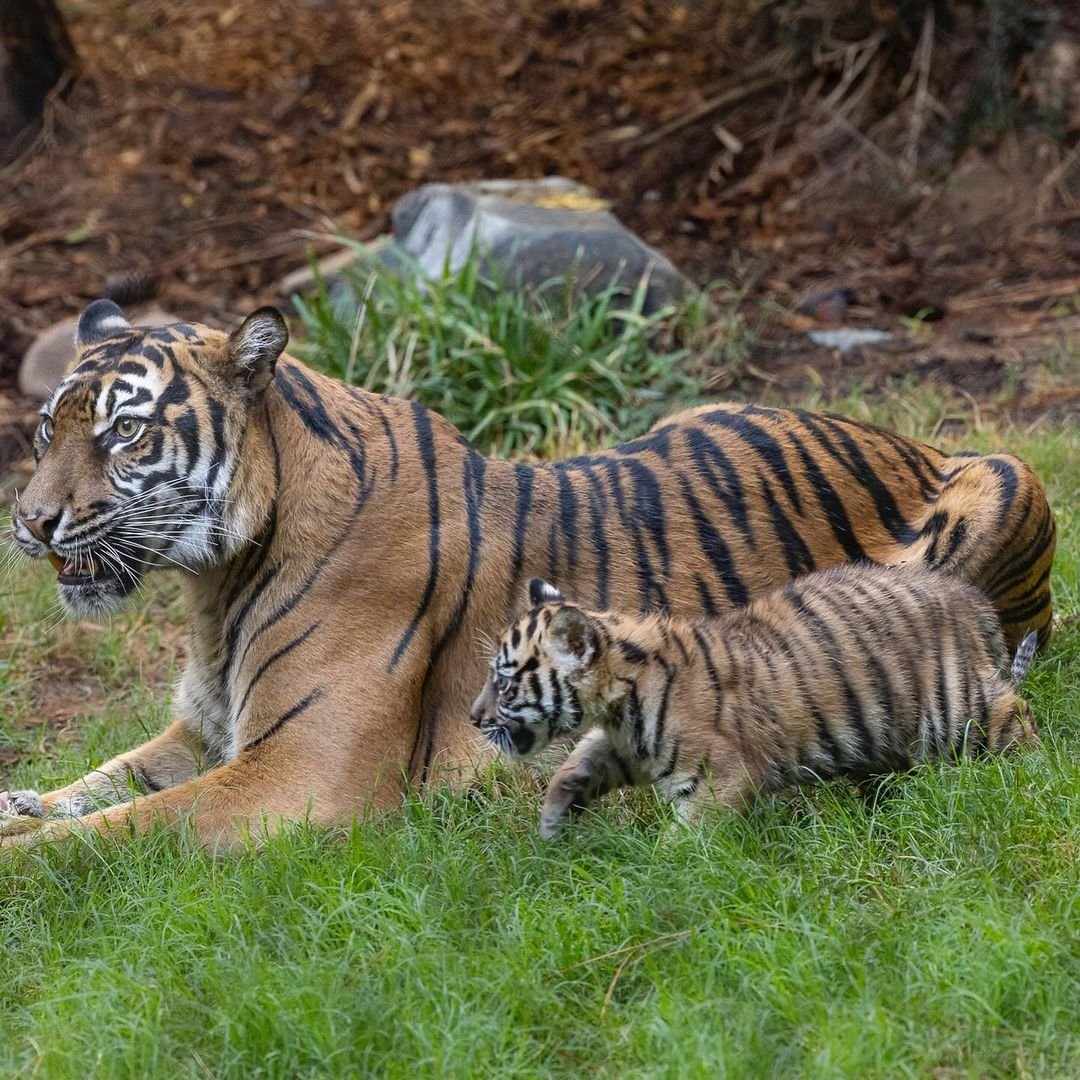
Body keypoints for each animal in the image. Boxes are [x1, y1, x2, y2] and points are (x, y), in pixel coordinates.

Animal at [471, 573, 1040, 838]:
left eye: (503, 682)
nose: (473, 719)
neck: (618, 701)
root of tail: (968, 597)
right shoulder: (626, 746)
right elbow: (576, 765)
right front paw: (553, 823)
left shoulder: (719, 777)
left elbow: (688, 835)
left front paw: (667, 872)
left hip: (957, 707)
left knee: (1015, 714)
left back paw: (1031, 779)